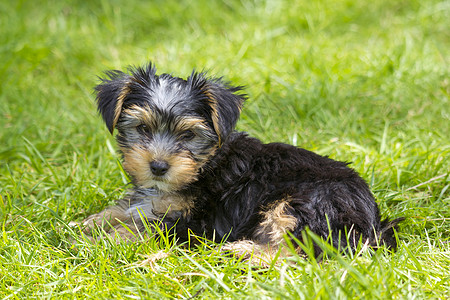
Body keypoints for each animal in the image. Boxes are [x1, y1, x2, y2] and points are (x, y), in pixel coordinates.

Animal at [78, 61, 404, 260]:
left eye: (188, 135)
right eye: (143, 128)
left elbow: (146, 227)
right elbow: (128, 208)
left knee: (301, 253)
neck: (205, 164)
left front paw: (99, 241)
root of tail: (373, 224)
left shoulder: (198, 220)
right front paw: (88, 223)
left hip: (306, 204)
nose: (158, 167)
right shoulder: (151, 198)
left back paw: (242, 251)